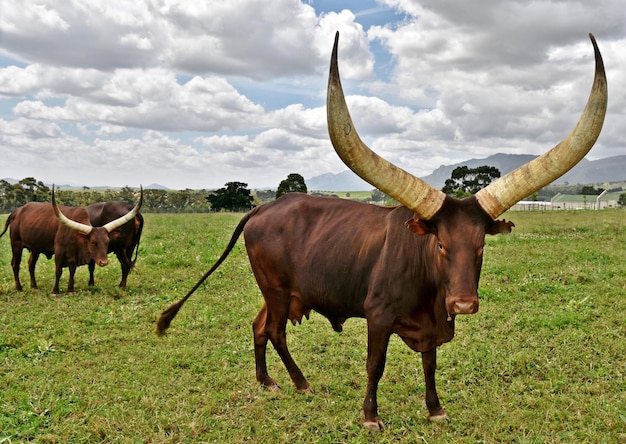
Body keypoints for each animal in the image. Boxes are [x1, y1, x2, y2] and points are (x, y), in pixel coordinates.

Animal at [0, 186, 142, 294]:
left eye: (107, 242)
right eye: (93, 243)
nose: (104, 262)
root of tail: (17, 211)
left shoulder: (76, 254)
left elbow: (73, 270)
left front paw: (72, 289)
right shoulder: (60, 252)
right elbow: (59, 271)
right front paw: (56, 291)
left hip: (35, 248)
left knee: (31, 264)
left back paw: (34, 286)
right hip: (16, 244)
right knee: (15, 264)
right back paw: (19, 288)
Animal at [156, 33, 604, 432]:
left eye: (479, 246)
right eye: (440, 244)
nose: (462, 304)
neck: (427, 284)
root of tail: (263, 208)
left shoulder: (431, 324)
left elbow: (430, 364)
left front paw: (435, 410)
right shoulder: (378, 315)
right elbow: (376, 364)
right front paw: (370, 416)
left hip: (279, 292)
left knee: (258, 325)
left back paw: (267, 382)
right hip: (277, 290)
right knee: (276, 331)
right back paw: (300, 383)